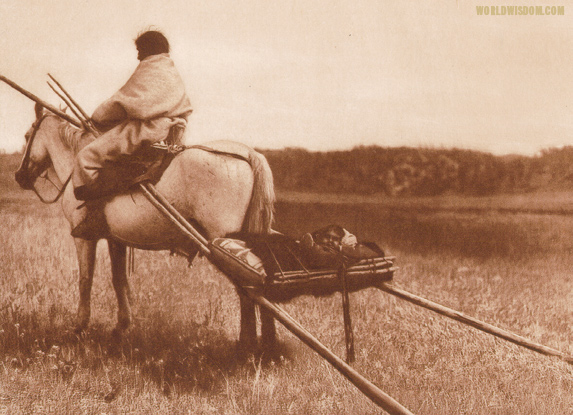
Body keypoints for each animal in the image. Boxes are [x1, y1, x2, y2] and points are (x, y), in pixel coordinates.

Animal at [14, 103, 278, 354]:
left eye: (27, 135)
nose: (19, 177)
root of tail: (248, 153)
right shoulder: (115, 239)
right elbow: (119, 280)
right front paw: (120, 328)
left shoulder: (84, 239)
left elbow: (85, 280)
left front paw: (79, 329)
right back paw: (267, 347)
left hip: (228, 246)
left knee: (248, 293)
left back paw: (246, 348)